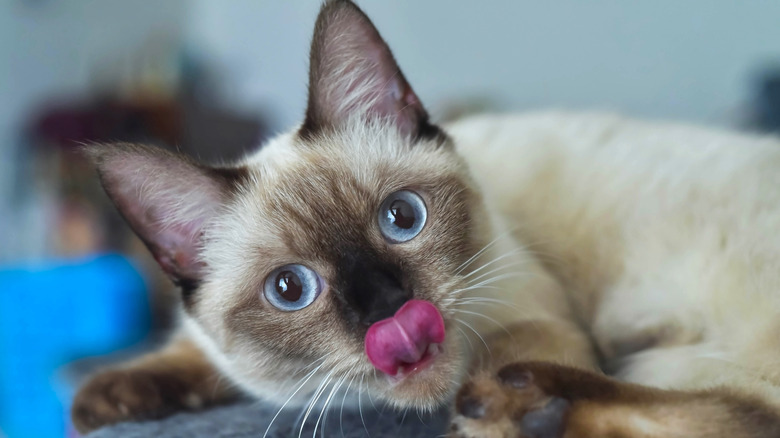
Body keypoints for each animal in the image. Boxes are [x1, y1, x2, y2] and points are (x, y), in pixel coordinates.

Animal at [70, 0, 780, 438]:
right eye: (289, 289)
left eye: (402, 218)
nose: (391, 311)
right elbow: (188, 356)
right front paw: (101, 406)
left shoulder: (537, 315)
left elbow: (514, 350)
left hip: (672, 351)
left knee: (738, 416)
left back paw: (520, 408)